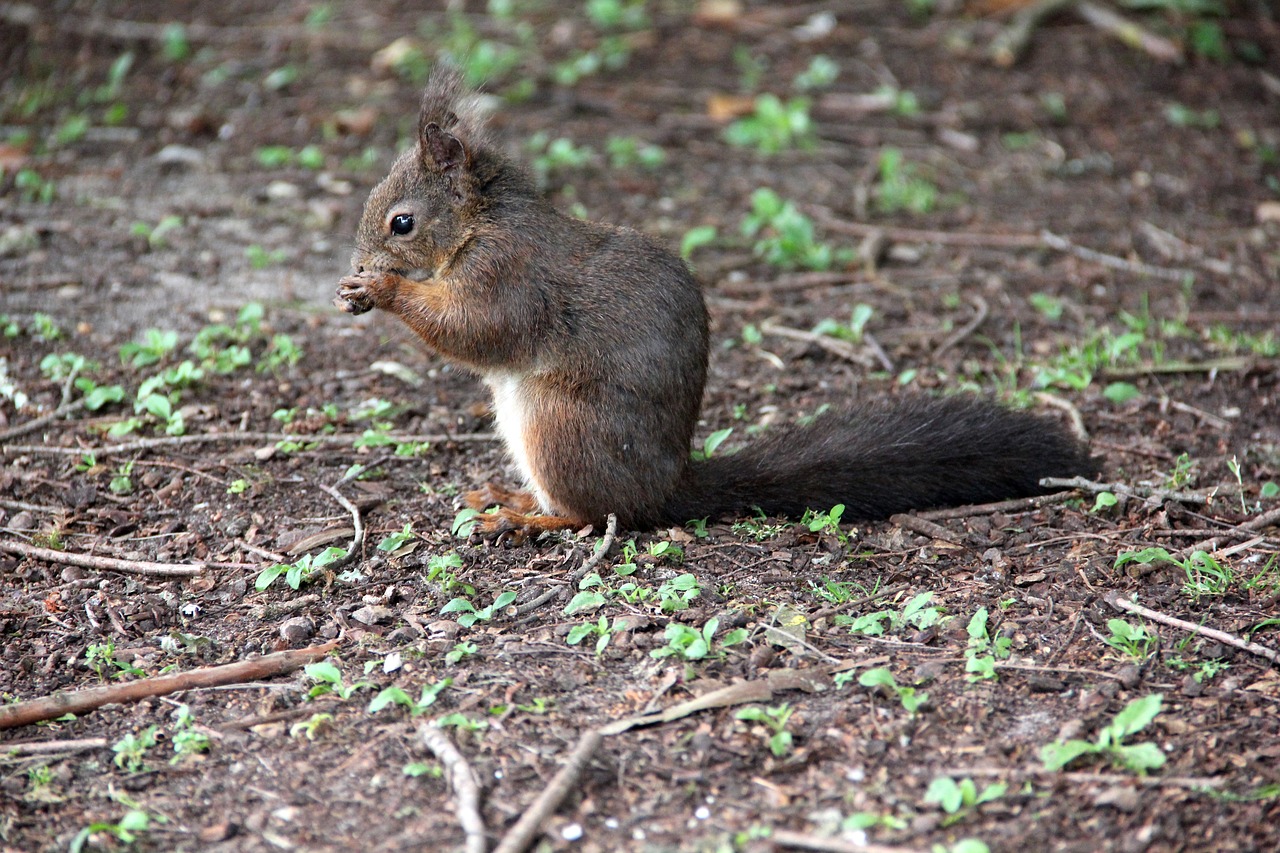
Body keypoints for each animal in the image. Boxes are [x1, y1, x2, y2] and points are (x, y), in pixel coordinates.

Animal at [335, 71, 1095, 537]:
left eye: (402, 223)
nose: (360, 261)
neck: (482, 221)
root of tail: (668, 487)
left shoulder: (509, 273)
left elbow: (477, 329)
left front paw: (384, 289)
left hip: (558, 426)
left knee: (595, 515)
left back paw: (529, 518)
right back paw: (512, 496)